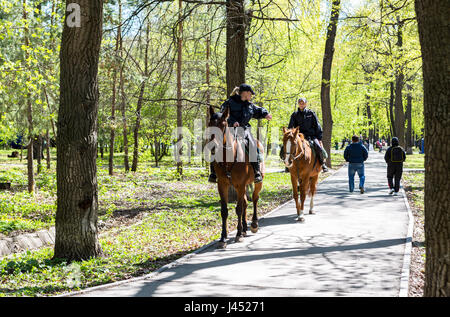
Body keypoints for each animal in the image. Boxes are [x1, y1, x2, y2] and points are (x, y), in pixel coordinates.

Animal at [209, 105, 266, 248]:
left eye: (223, 124)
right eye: (209, 124)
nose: (213, 147)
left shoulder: (240, 185)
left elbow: (239, 209)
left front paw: (238, 234)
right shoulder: (222, 185)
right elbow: (224, 211)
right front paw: (223, 238)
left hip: (257, 183)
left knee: (254, 199)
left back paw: (253, 224)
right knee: (245, 202)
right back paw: (245, 228)